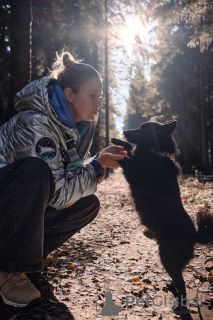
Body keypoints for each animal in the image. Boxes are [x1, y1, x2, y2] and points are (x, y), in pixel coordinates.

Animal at [110, 119, 213, 312]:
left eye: (142, 129)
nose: (124, 131)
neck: (154, 152)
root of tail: (194, 236)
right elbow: (129, 148)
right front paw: (117, 141)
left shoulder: (132, 172)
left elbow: (127, 156)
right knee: (178, 276)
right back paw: (171, 286)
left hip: (166, 255)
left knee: (182, 283)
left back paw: (180, 305)